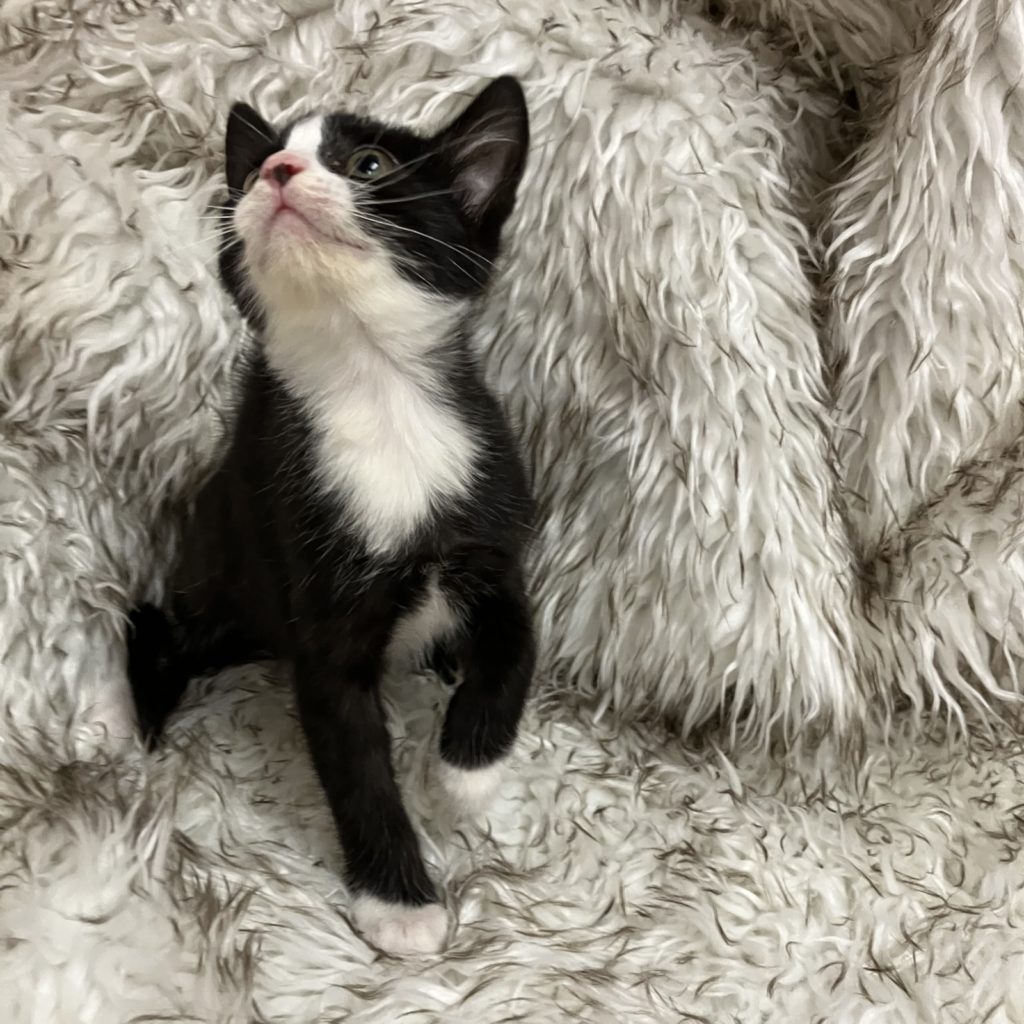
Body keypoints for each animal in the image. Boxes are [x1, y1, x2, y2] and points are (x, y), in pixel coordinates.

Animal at [126, 77, 536, 956]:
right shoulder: (315, 601)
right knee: (159, 633)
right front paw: (399, 904)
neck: (375, 392)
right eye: (250, 176)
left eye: (368, 163)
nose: (275, 172)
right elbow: (355, 764)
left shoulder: (492, 524)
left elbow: (518, 645)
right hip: (216, 577)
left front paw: (464, 776)